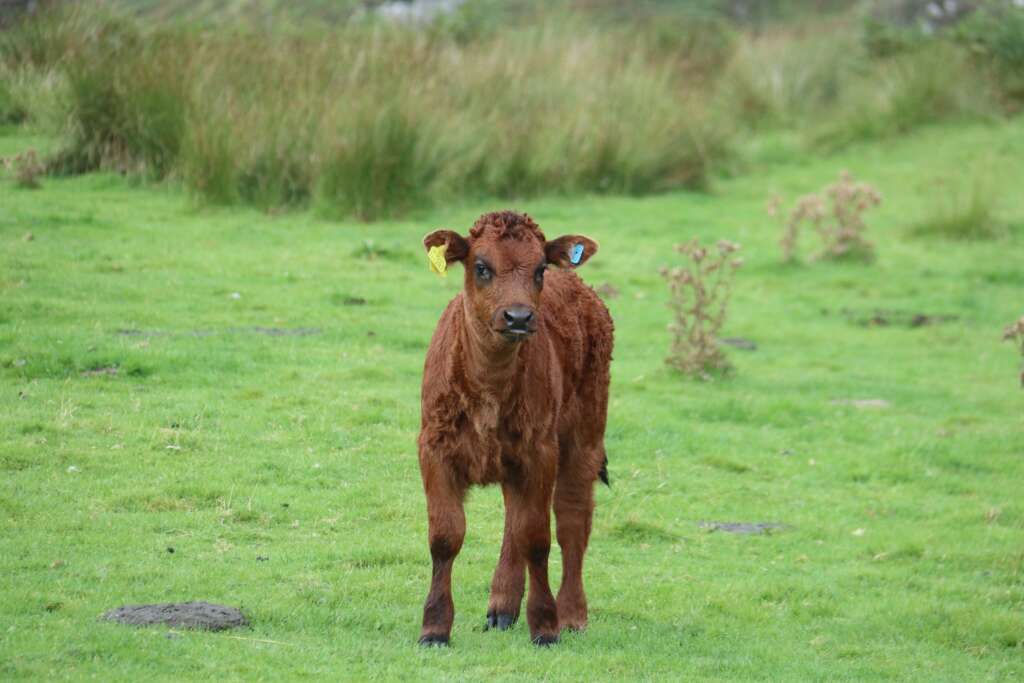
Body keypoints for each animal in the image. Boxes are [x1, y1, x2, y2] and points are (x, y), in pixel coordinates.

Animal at [413, 211, 610, 647]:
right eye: (481, 267)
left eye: (539, 269)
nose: (518, 317)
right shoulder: (434, 447)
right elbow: (445, 536)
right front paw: (434, 627)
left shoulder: (540, 450)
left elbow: (536, 537)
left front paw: (546, 626)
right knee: (513, 519)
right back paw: (502, 605)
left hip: (584, 435)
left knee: (571, 518)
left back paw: (572, 613)